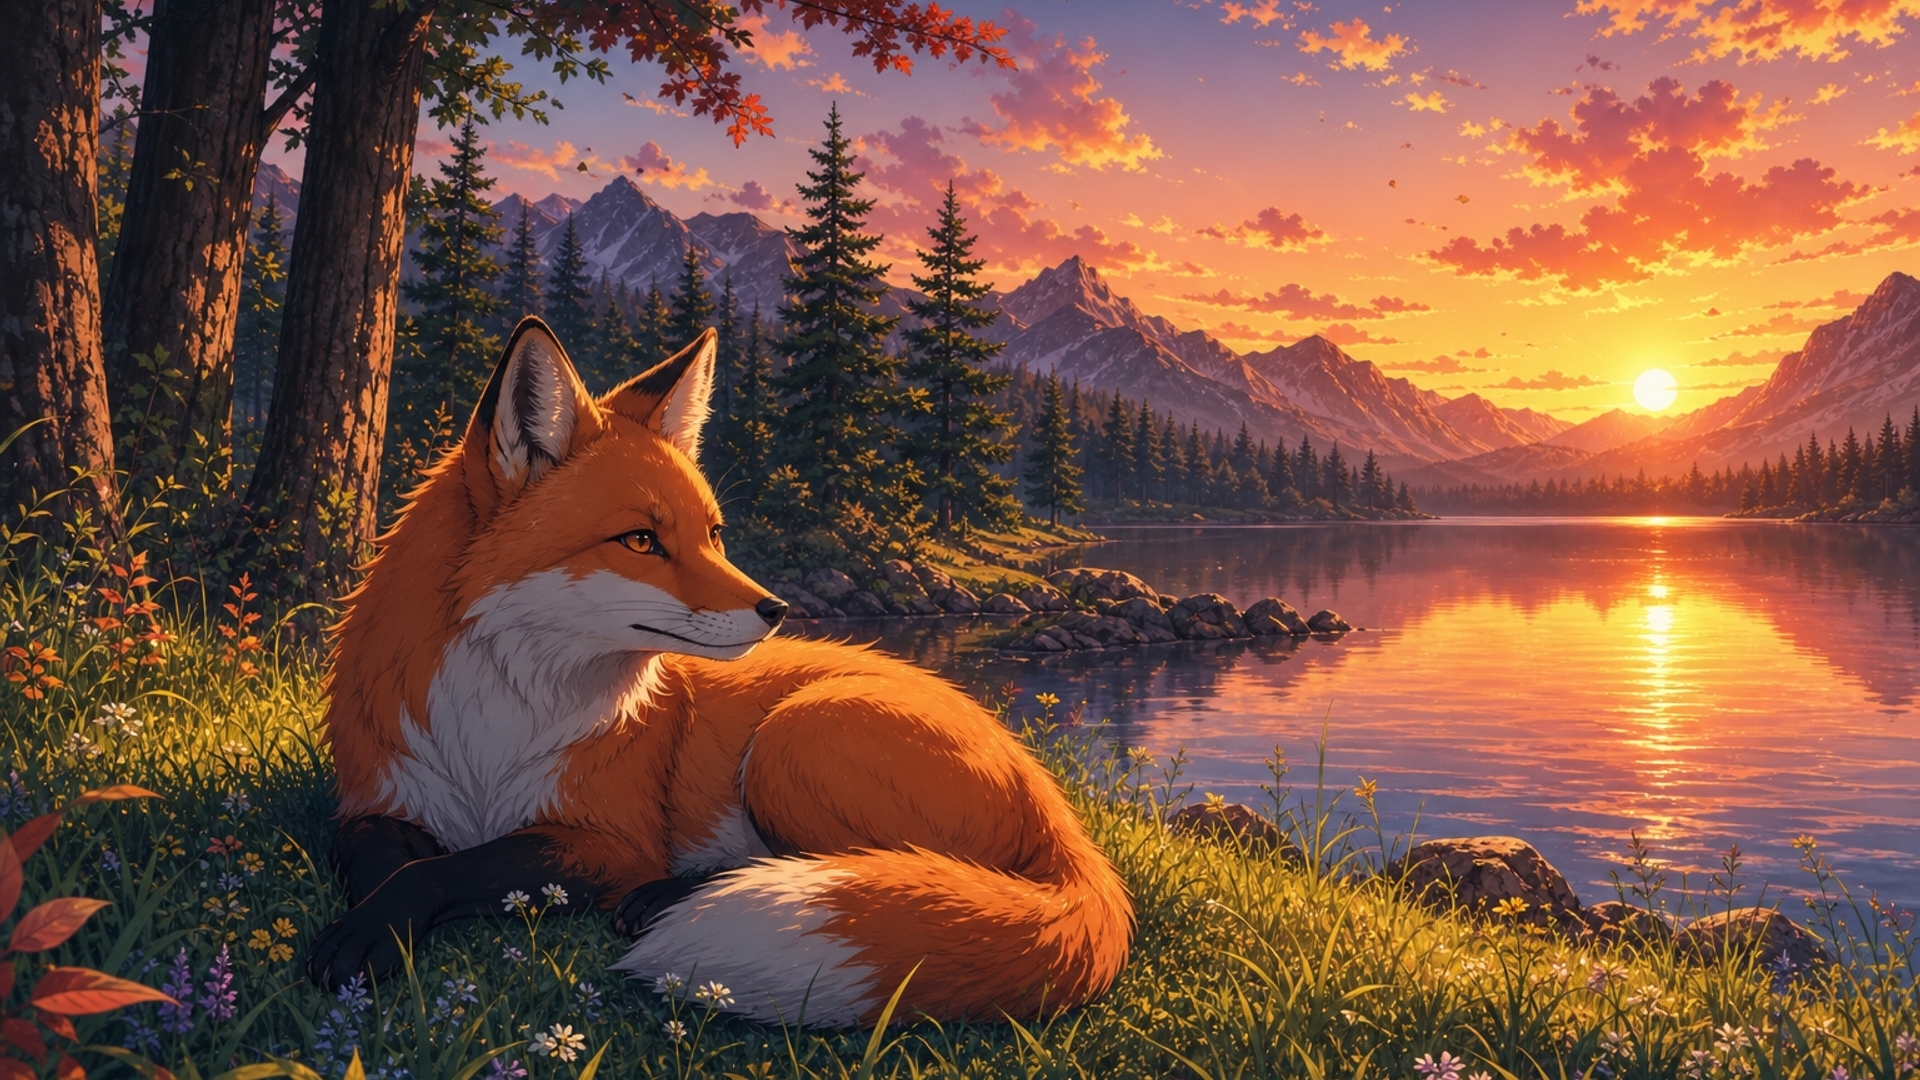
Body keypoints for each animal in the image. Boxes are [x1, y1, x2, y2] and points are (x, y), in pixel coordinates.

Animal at [307, 317, 1132, 1026]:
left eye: (712, 533)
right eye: (641, 540)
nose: (777, 609)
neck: (495, 725)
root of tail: (1055, 802)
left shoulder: (610, 838)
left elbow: (458, 869)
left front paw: (371, 928)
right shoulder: (374, 797)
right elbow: (379, 858)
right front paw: (373, 916)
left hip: (793, 741)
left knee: (868, 863)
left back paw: (670, 897)